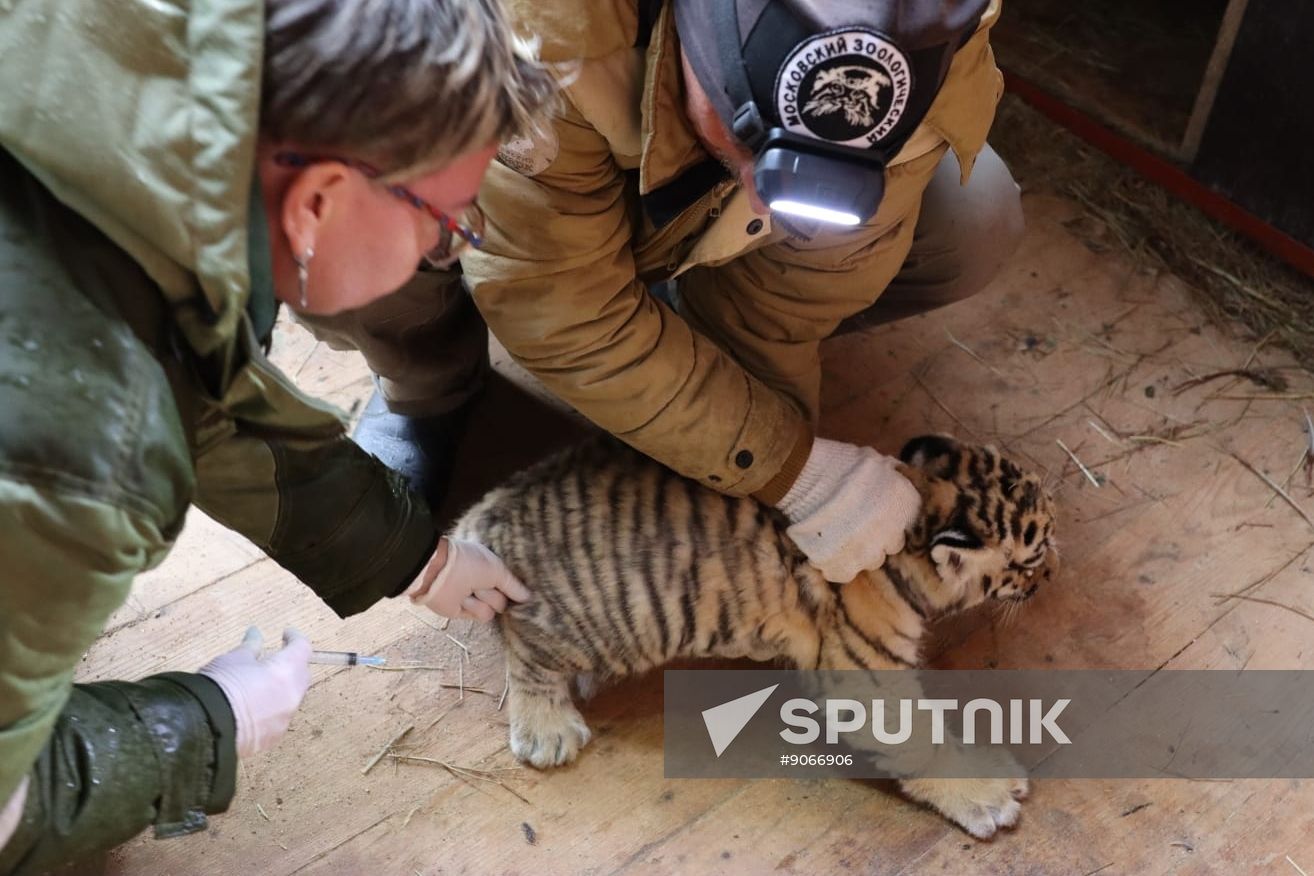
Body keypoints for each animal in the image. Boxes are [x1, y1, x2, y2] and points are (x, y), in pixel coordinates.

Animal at [449, 433, 1059, 839]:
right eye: (1031, 559)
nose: (1053, 575)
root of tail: (492, 512)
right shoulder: (864, 674)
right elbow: (919, 742)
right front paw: (986, 795)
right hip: (599, 624)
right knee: (525, 649)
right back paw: (547, 730)